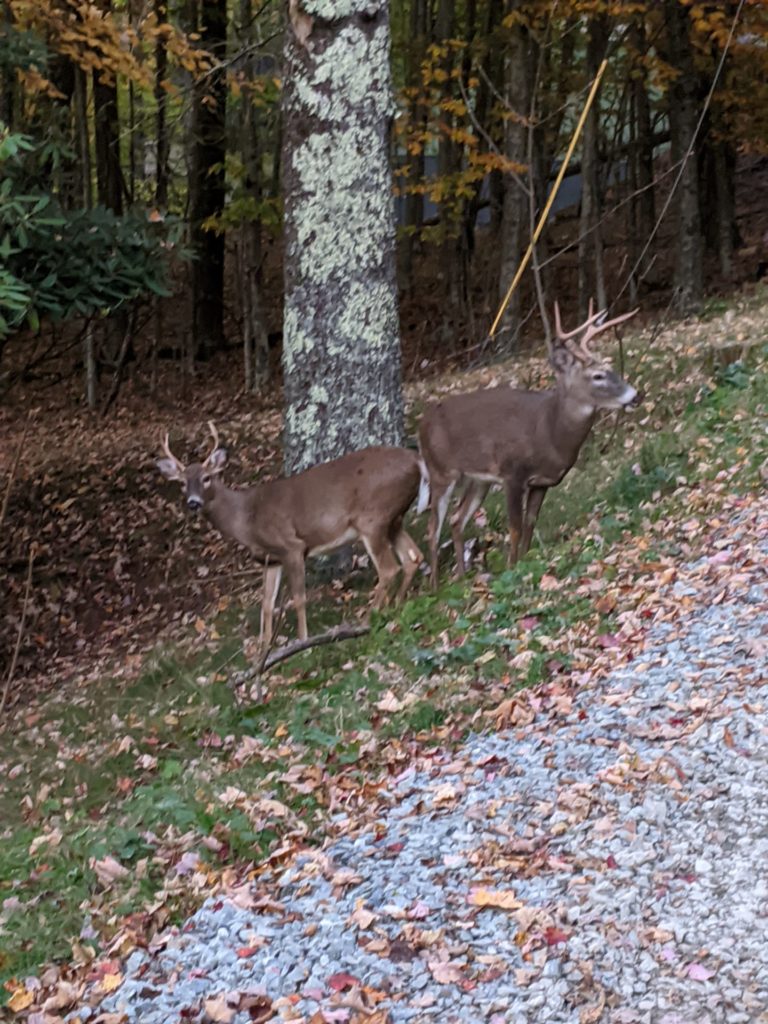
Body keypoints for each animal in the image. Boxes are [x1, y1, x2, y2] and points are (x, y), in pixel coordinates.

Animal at [154, 421, 423, 638]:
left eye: (207, 478)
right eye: (182, 483)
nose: (193, 502)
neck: (247, 518)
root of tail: (417, 461)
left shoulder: (292, 546)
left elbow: (299, 598)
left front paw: (303, 640)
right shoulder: (271, 559)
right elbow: (267, 604)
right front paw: (262, 650)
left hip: (372, 518)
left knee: (389, 568)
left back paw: (366, 620)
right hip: (393, 518)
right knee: (413, 557)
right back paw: (397, 605)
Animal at [417, 299, 638, 585]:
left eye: (610, 368)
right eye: (598, 375)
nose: (635, 395)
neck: (549, 433)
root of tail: (422, 424)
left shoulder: (542, 482)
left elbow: (530, 523)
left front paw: (525, 562)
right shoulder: (513, 473)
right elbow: (515, 526)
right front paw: (512, 568)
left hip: (478, 480)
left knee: (457, 518)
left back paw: (463, 577)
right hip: (441, 472)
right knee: (433, 528)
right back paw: (435, 585)